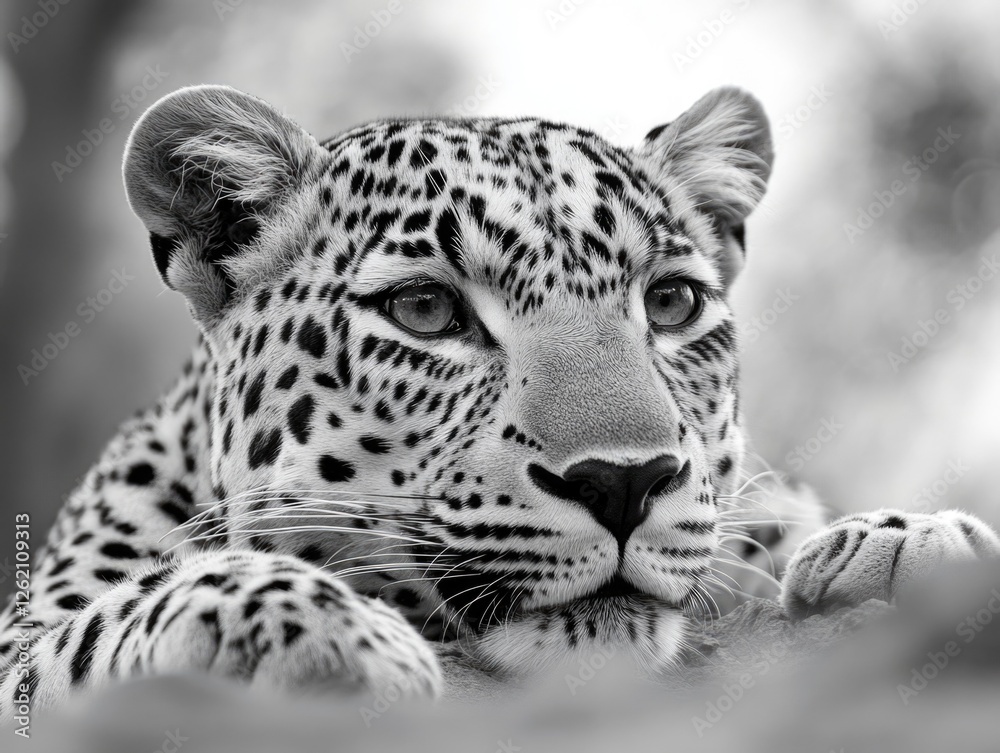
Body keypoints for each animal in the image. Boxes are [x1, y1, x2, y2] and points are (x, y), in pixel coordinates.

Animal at [2, 84, 997, 720]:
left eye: (673, 302)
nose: (625, 482)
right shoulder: (26, 633)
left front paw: (912, 540)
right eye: (426, 310)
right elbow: (109, 618)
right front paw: (325, 624)